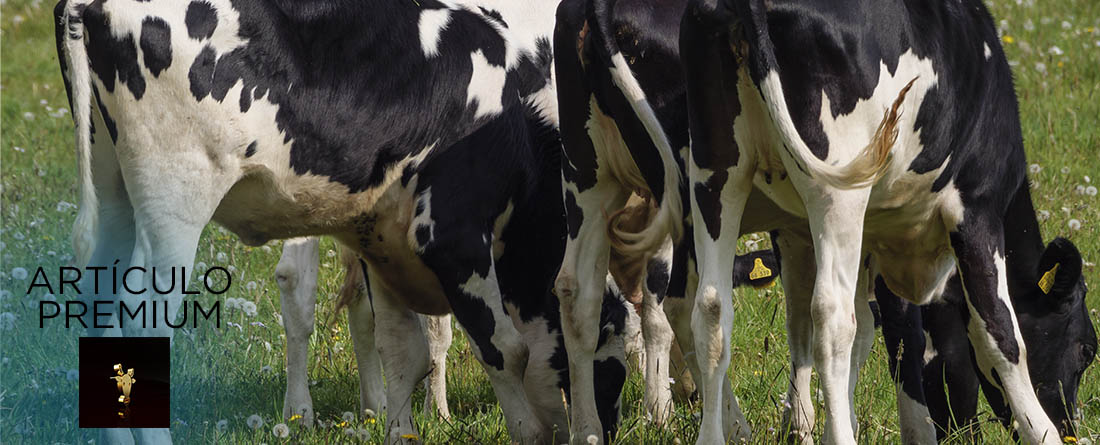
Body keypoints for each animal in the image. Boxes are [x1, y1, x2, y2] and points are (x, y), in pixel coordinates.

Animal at [53, 0, 631, 443]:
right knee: (140, 324)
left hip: (113, 199)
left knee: (102, 314)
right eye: (610, 350)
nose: (612, 426)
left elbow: (402, 350)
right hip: (174, 206)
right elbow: (506, 349)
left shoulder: (385, 239)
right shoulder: (452, 234)